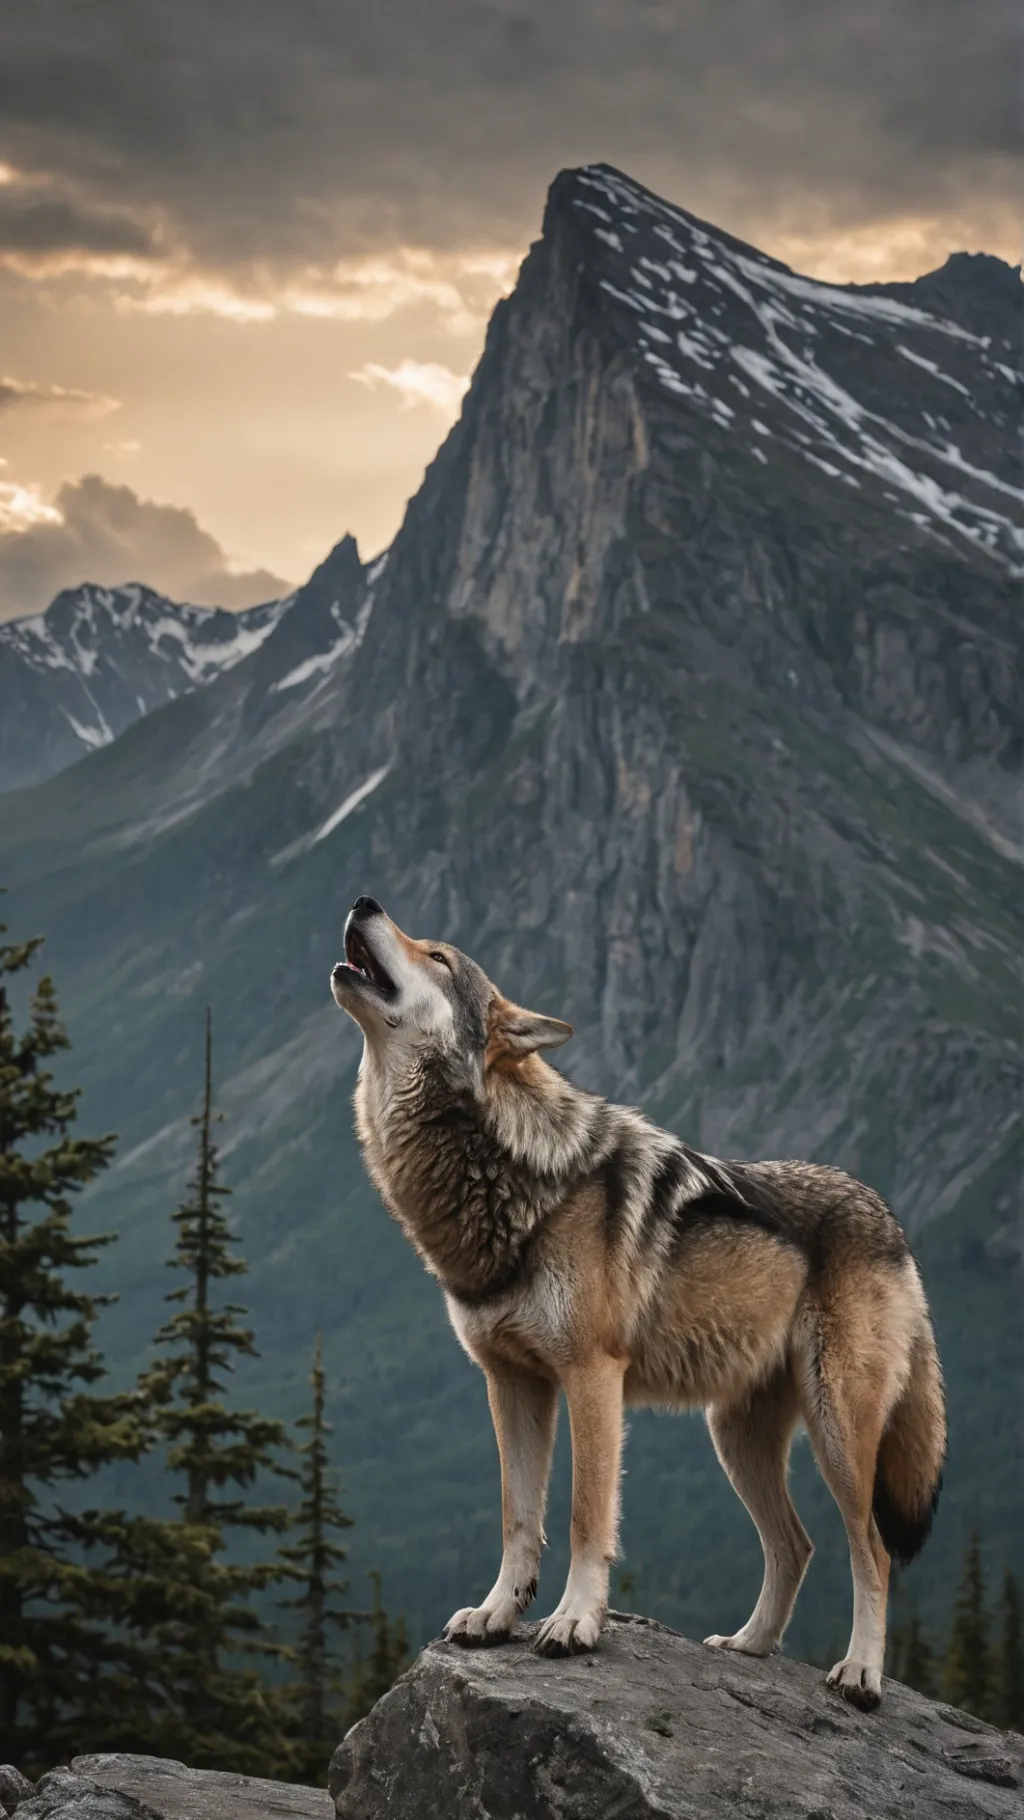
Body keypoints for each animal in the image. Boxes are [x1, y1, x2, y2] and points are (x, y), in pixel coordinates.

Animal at [330, 895, 946, 1709]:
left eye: (438, 956)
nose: (364, 901)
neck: (503, 1169)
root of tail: (891, 1219)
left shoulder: (593, 1377)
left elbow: (585, 1515)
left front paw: (573, 1624)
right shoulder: (510, 1382)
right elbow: (517, 1516)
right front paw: (496, 1615)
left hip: (838, 1432)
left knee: (870, 1549)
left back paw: (862, 1673)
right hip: (736, 1437)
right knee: (796, 1543)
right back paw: (748, 1647)